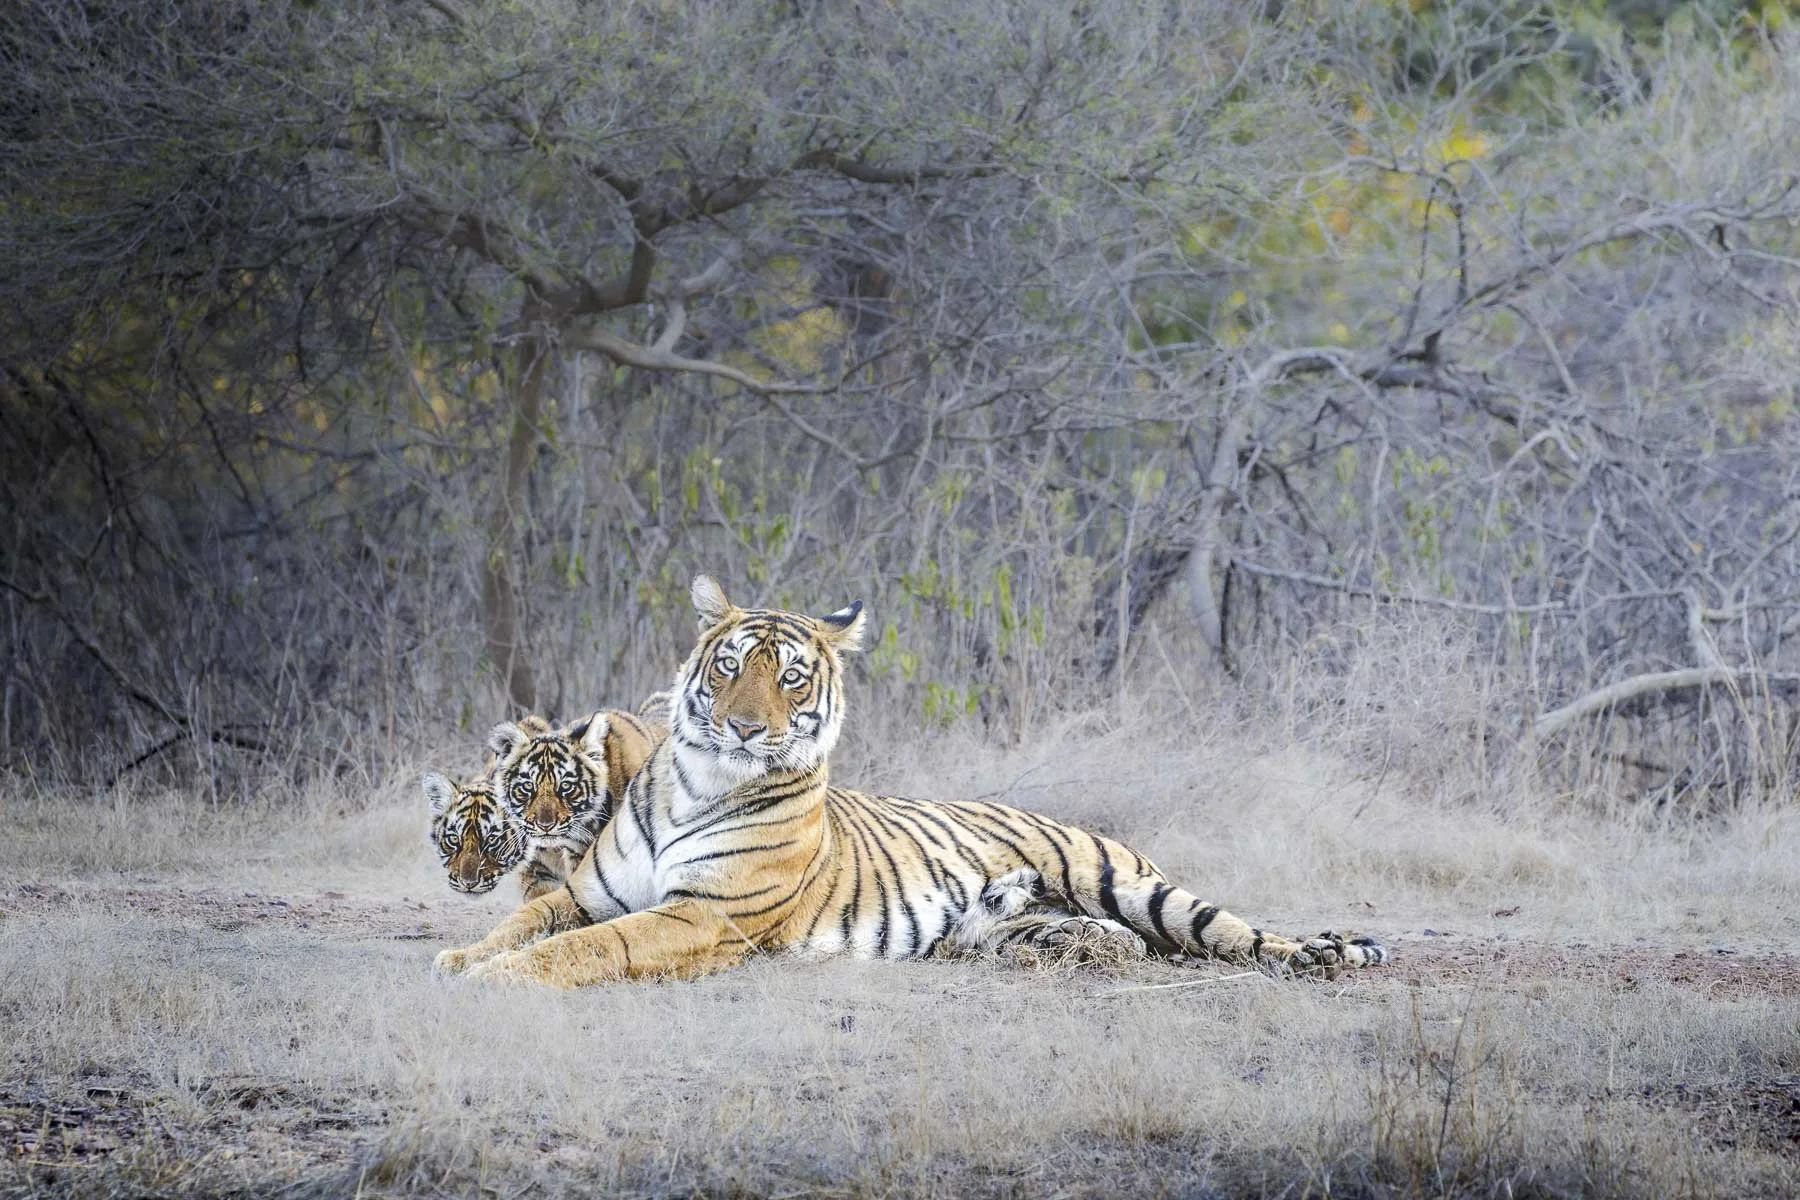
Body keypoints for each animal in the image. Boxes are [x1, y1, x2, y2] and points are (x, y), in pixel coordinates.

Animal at [433, 576, 1387, 985]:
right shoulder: (587, 891)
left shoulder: (700, 915)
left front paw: (491, 981)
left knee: (1230, 932)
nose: (745, 728)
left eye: (790, 678)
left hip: (1132, 885)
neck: (696, 784)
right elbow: (526, 921)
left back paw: (1324, 953)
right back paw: (1078, 950)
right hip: (1020, 924)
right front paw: (459, 956)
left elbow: (587, 948)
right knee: (1111, 941)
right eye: (732, 665)